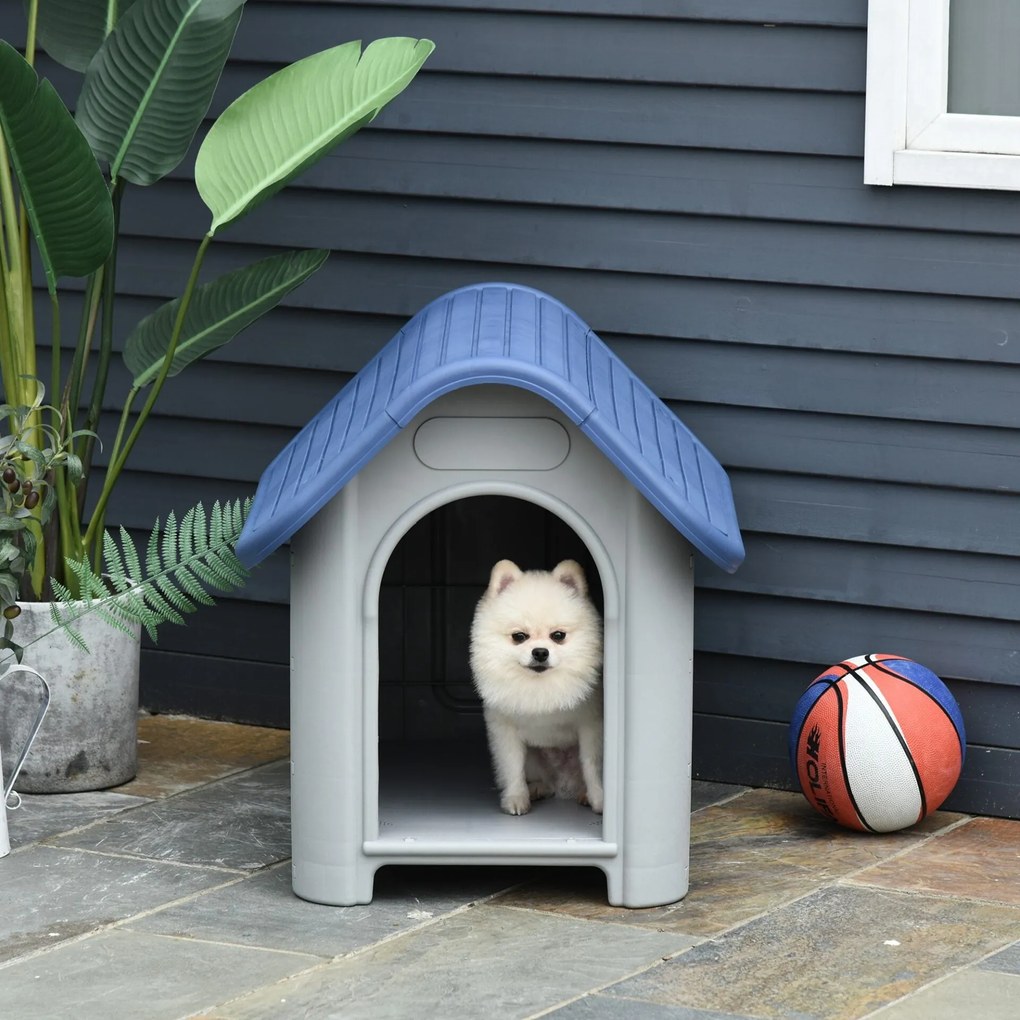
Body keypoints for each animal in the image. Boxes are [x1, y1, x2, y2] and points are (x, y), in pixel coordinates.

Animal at [471, 558, 603, 811]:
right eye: (519, 636)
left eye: (558, 635)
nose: (540, 652)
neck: (540, 686)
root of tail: (563, 784)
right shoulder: (505, 730)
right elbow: (512, 765)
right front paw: (516, 798)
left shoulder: (591, 726)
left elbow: (592, 764)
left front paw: (599, 798)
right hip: (536, 760)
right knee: (541, 779)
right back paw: (537, 788)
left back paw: (582, 793)